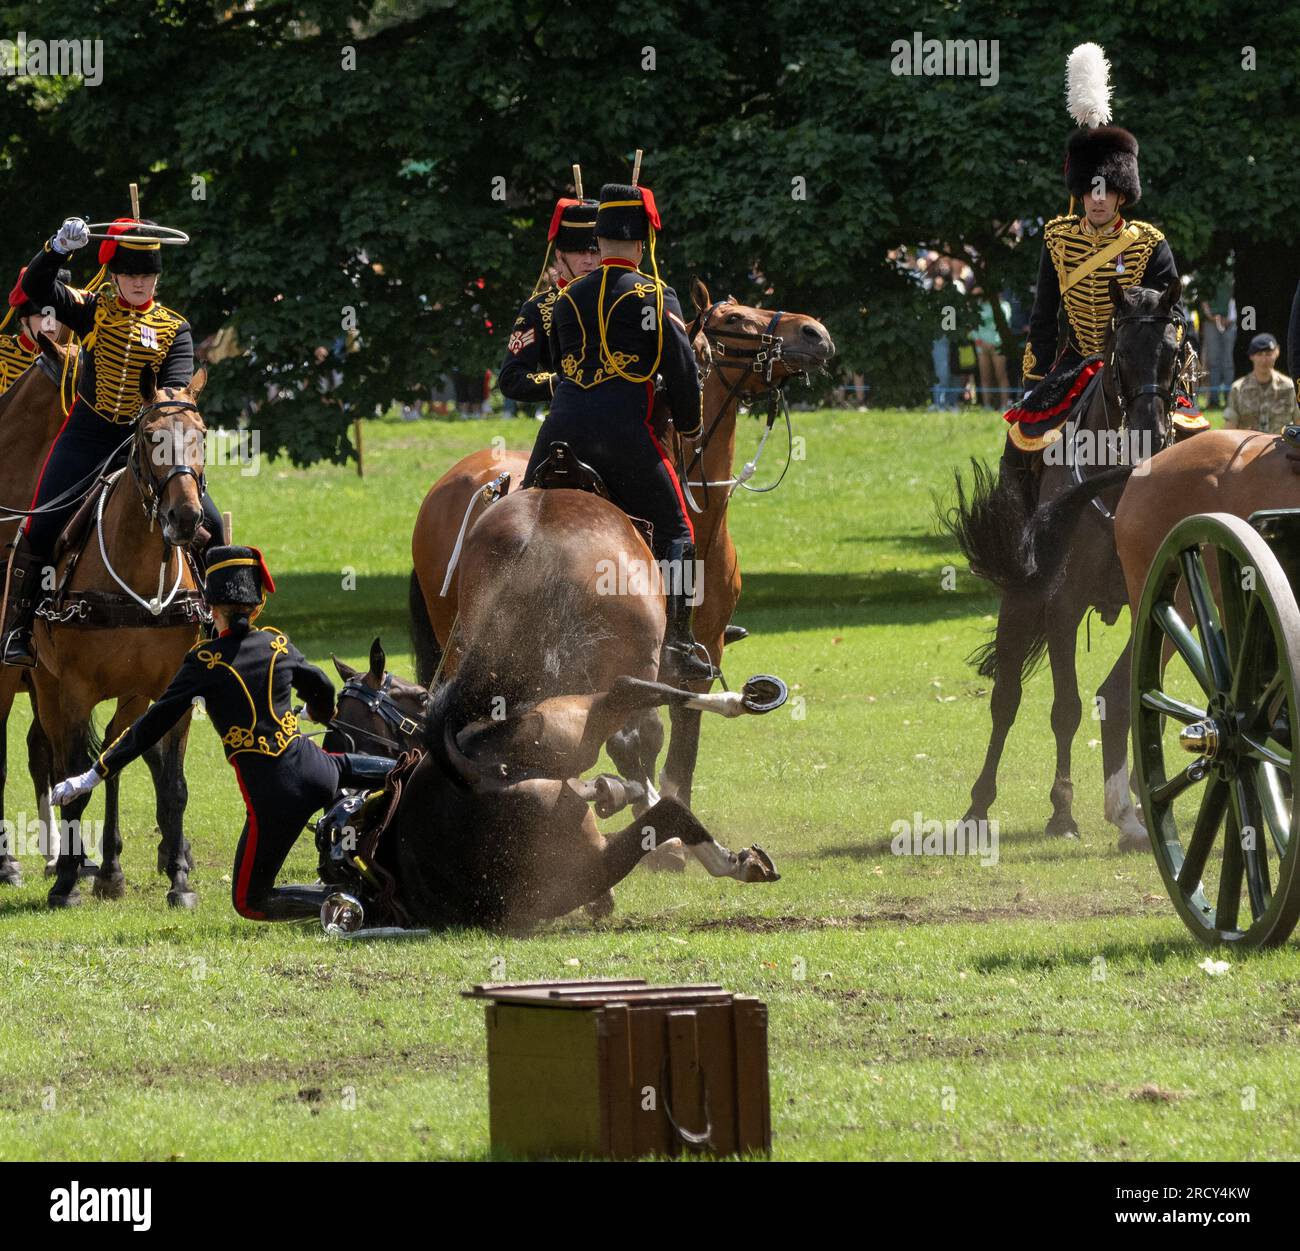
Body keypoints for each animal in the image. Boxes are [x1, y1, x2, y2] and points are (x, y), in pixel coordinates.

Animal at [35, 366, 209, 899]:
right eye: (151, 437)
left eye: (201, 437)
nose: (185, 518)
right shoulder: (73, 690)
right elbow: (72, 779)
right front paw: (65, 881)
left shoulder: (174, 689)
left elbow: (173, 785)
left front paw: (179, 880)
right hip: (41, 685)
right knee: (61, 760)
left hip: (134, 694)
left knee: (115, 749)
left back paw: (113, 868)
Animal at [941, 280, 1190, 847]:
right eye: (1122, 354)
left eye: (1173, 352)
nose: (1149, 431)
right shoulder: (1063, 605)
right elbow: (1066, 708)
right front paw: (1062, 811)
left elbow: (1135, 698)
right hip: (1019, 599)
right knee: (1006, 699)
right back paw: (977, 806)